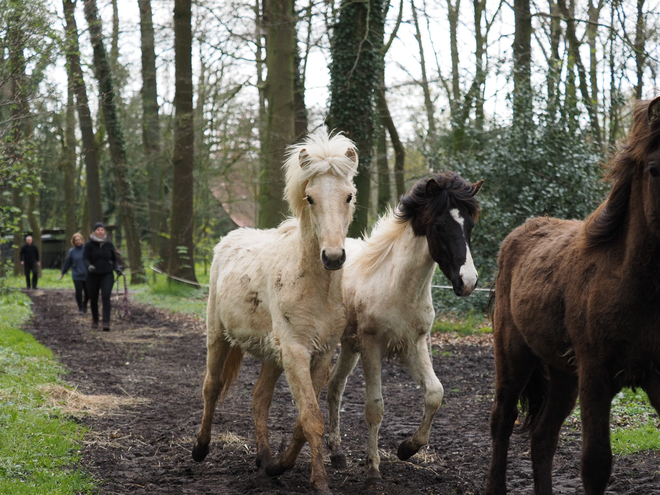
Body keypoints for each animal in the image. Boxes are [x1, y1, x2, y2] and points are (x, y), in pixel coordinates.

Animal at [193, 130, 358, 494]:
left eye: (349, 196)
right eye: (310, 198)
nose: (333, 257)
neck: (313, 286)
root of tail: (229, 238)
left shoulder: (321, 355)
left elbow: (303, 420)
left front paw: (281, 465)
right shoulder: (296, 352)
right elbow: (311, 418)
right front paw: (320, 482)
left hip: (272, 355)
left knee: (259, 398)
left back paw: (265, 460)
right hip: (218, 337)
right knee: (211, 386)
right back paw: (200, 448)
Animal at [328, 172, 482, 486]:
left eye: (469, 226)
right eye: (439, 226)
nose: (469, 282)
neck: (396, 285)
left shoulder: (414, 344)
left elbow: (435, 393)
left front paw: (407, 448)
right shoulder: (372, 347)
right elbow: (375, 407)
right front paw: (373, 470)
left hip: (349, 346)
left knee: (334, 385)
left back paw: (336, 453)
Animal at [484, 97, 660, 495]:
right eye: (655, 169)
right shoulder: (595, 376)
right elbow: (595, 464)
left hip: (563, 373)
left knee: (542, 437)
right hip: (514, 356)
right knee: (502, 420)